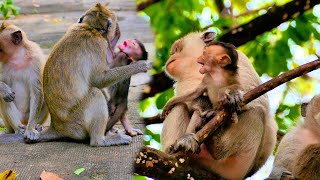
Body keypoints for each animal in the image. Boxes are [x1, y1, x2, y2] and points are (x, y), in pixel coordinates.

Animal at [23, 3, 151, 146]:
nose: (117, 32)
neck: (89, 28)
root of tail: (56, 126)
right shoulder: (99, 44)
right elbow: (99, 79)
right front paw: (140, 66)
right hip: (76, 125)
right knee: (95, 92)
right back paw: (100, 140)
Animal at [160, 31, 278, 179]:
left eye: (176, 49)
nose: (170, 57)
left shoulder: (240, 62)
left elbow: (256, 98)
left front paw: (229, 101)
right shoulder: (183, 83)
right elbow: (190, 100)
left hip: (237, 165)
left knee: (258, 113)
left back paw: (216, 148)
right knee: (178, 106)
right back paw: (177, 146)